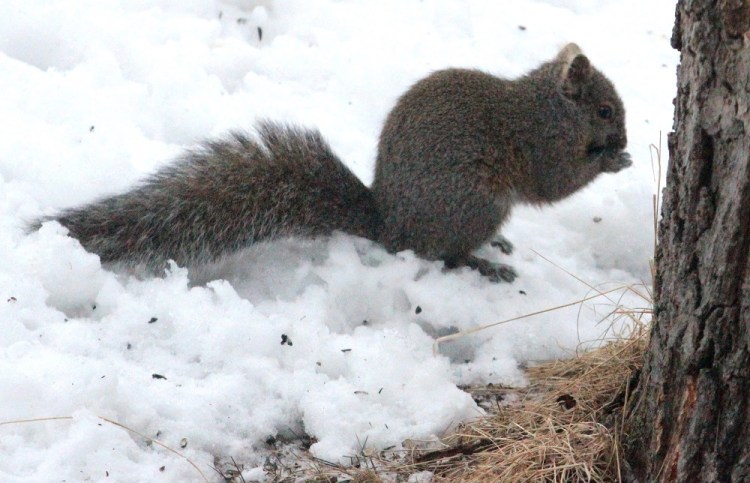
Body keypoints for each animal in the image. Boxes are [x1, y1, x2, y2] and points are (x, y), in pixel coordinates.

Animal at [30, 43, 631, 282]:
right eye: (605, 109)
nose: (624, 134)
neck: (548, 106)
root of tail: (390, 226)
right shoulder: (540, 144)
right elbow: (554, 184)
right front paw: (612, 161)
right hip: (475, 203)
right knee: (440, 255)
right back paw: (482, 262)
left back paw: (496, 248)